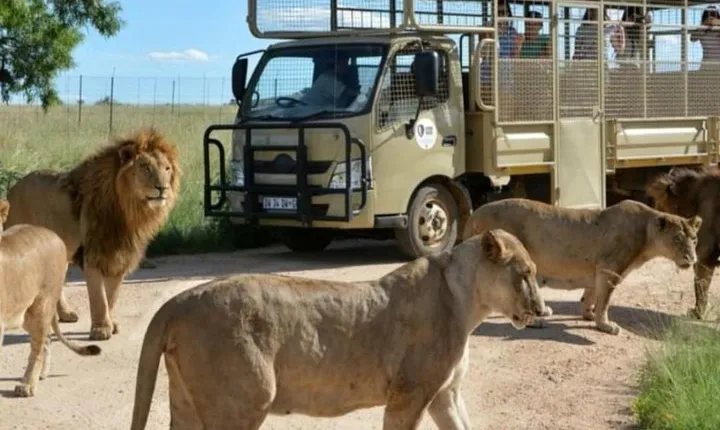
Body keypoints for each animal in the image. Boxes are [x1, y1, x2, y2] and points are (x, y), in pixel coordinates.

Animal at [0, 200, 101, 397]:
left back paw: (28, 385)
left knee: (38, 347)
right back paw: (40, 375)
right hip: (28, 314)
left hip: (41, 306)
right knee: (46, 340)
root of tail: (53, 235)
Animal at [3, 127, 181, 341]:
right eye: (145, 167)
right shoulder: (93, 254)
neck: (130, 211)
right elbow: (99, 298)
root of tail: (12, 188)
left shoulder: (120, 256)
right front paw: (101, 329)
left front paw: (111, 324)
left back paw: (65, 314)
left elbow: (112, 297)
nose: (163, 188)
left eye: (167, 169)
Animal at [129, 229, 547, 429]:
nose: (542, 309)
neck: (467, 301)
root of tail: (177, 301)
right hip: (244, 400)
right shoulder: (409, 394)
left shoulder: (444, 395)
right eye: (525, 274)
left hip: (187, 401)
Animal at [462, 198, 701, 335]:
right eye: (677, 239)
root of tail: (474, 214)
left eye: (694, 239)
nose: (692, 259)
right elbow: (605, 301)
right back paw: (536, 321)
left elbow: (591, 295)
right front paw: (605, 325)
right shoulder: (610, 269)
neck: (646, 234)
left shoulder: (597, 270)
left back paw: (544, 311)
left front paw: (589, 315)